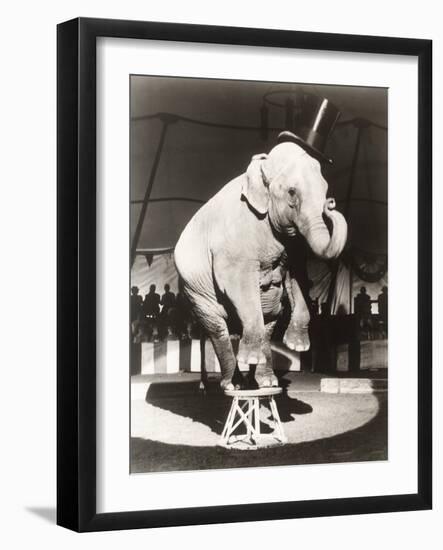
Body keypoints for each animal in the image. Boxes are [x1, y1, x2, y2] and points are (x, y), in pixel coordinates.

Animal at [175, 138, 348, 392]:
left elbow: (298, 275)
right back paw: (232, 385)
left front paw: (296, 347)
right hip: (195, 294)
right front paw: (252, 361)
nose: (331, 203)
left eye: (325, 190)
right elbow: (239, 283)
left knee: (269, 318)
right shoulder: (233, 243)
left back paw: (264, 382)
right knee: (217, 328)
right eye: (292, 192)